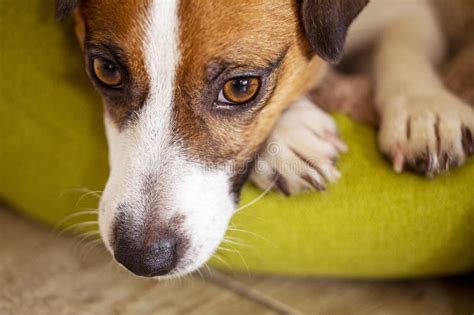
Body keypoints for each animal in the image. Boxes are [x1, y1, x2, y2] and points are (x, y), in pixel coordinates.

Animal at [55, 0, 474, 278]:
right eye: (106, 69)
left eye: (241, 87)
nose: (141, 257)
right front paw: (291, 137)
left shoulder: (403, 13)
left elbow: (403, 48)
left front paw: (426, 110)